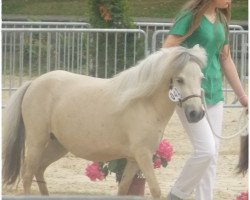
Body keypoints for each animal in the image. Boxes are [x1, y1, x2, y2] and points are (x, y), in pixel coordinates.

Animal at [2, 44, 207, 199]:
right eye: (179, 79)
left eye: (201, 78)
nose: (197, 113)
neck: (144, 103)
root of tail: (33, 83)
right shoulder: (143, 156)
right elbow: (156, 190)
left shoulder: (133, 159)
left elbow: (123, 189)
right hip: (37, 140)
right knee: (28, 175)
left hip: (57, 145)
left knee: (39, 169)